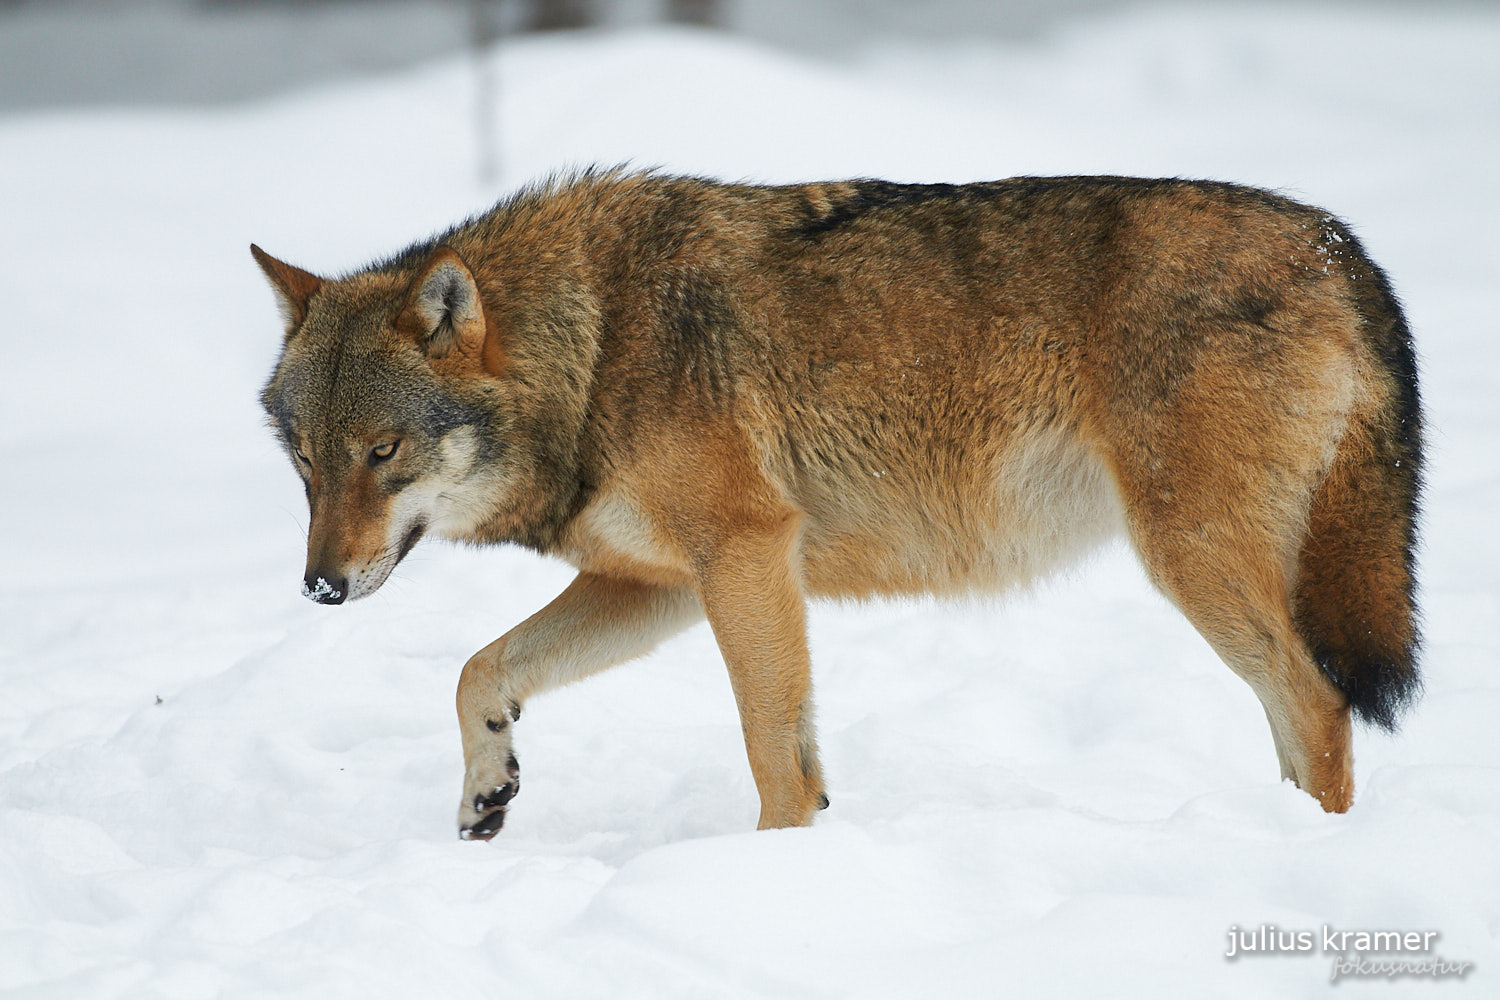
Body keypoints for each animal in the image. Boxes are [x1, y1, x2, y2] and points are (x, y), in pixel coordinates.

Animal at [255, 167, 1416, 839]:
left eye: (383, 452)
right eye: (304, 463)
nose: (319, 588)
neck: (593, 346)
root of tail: (1338, 241)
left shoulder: (748, 553)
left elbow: (777, 758)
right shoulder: (659, 587)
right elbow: (477, 672)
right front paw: (486, 791)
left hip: (1190, 559)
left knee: (1321, 703)